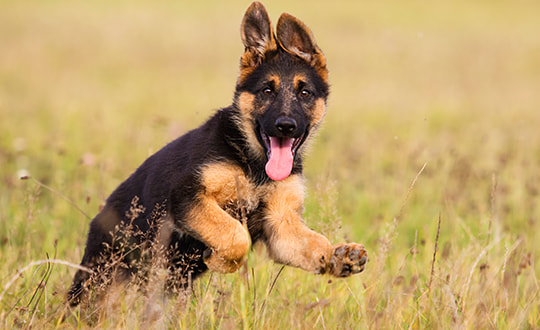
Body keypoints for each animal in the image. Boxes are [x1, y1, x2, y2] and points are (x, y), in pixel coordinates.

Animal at [67, 1, 368, 306]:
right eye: (267, 90)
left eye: (305, 93)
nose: (285, 125)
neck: (254, 164)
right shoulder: (187, 196)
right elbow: (236, 235)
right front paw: (220, 261)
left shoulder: (281, 226)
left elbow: (314, 243)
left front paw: (338, 256)